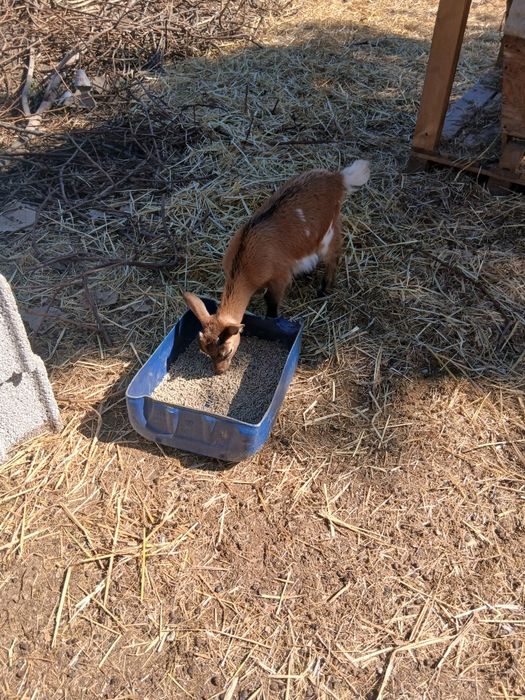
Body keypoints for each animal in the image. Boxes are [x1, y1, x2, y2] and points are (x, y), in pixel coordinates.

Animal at [183, 159, 370, 374]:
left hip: (328, 230)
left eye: (226, 351)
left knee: (334, 255)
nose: (219, 371)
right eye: (204, 350)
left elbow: (271, 302)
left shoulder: (280, 276)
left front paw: (273, 321)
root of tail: (338, 178)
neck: (244, 266)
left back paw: (324, 289)